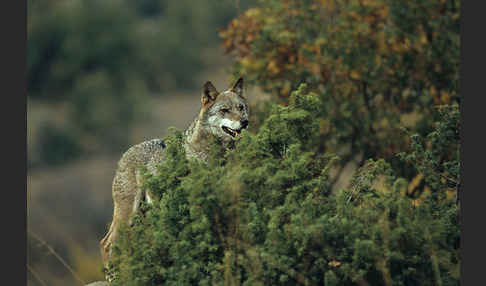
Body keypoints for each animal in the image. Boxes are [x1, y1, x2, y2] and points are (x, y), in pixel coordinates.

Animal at [100, 77, 249, 272]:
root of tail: (124, 155)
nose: (244, 122)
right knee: (107, 244)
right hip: (128, 215)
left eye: (241, 107)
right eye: (224, 110)